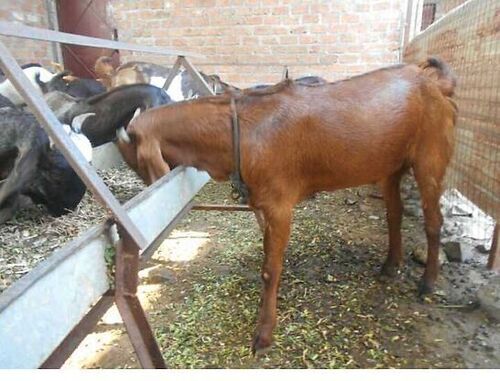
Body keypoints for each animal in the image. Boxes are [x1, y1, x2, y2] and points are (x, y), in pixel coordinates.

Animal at [116, 56, 458, 354]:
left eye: (136, 162)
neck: (238, 132)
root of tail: (434, 82)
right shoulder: (262, 203)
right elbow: (267, 256)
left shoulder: (280, 206)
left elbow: (271, 268)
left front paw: (264, 332)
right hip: (390, 167)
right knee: (394, 213)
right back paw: (389, 266)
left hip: (430, 158)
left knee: (433, 221)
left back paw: (427, 283)